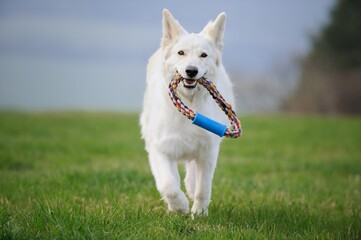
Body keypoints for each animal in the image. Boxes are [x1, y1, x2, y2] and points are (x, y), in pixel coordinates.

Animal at [139, 9, 235, 216]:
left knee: (192, 172)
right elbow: (168, 185)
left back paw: (190, 187)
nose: (191, 71)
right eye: (181, 52)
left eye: (203, 55)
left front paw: (199, 213)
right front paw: (180, 206)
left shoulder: (208, 150)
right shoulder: (161, 148)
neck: (189, 101)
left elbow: (203, 188)